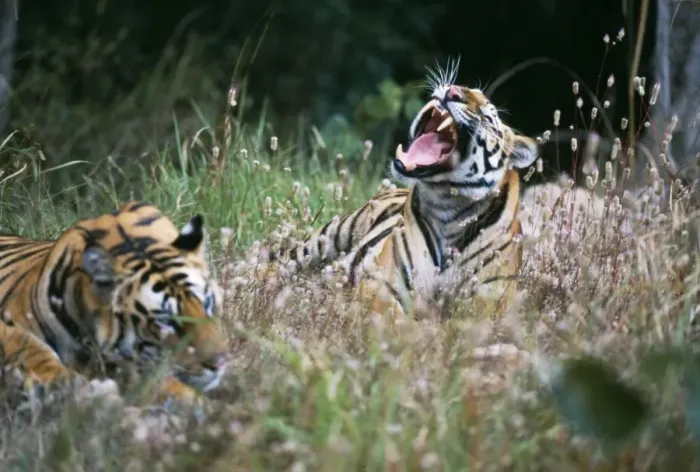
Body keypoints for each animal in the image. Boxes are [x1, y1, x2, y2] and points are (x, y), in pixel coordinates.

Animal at [255, 71, 539, 318]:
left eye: (487, 116)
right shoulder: (384, 285)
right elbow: (397, 324)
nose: (453, 91)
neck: (448, 205)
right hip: (330, 235)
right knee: (281, 262)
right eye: (465, 89)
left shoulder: (486, 303)